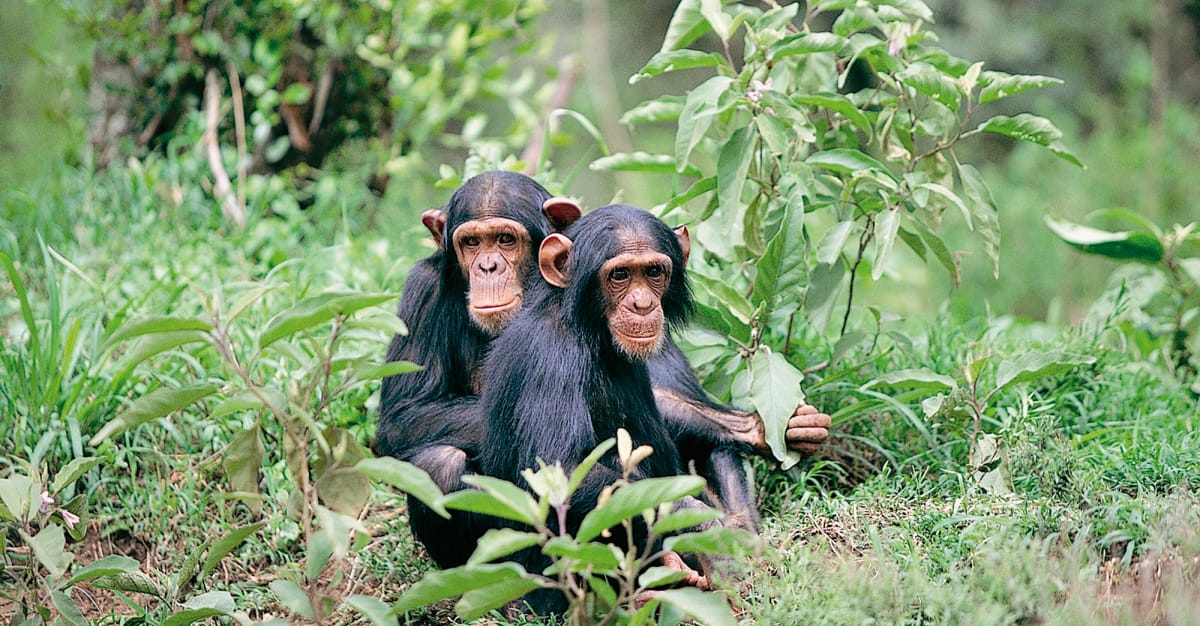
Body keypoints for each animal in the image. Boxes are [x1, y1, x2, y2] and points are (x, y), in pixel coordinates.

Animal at [475, 203, 710, 609]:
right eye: (619, 275)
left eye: (653, 272)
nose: (642, 304)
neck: (589, 329)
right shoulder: (552, 357)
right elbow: (559, 472)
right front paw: (693, 516)